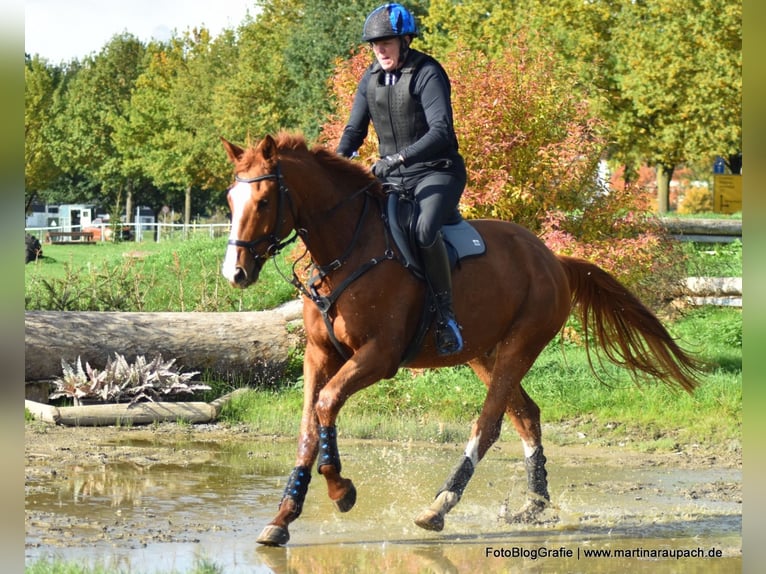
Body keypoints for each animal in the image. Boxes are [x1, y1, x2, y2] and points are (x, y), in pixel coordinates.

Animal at [220, 132, 704, 546]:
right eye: (229, 199)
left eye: (264, 201)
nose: (235, 273)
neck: (344, 251)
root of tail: (554, 259)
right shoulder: (319, 355)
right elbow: (308, 426)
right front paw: (283, 516)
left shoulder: (379, 356)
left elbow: (325, 405)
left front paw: (341, 489)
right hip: (482, 354)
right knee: (526, 415)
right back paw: (535, 506)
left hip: (520, 345)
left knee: (488, 424)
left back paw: (440, 505)